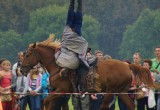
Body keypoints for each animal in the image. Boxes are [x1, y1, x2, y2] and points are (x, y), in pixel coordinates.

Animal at [20, 35, 154, 110]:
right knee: (130, 105)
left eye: (27, 54)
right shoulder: (56, 91)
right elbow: (49, 103)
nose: (21, 69)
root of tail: (127, 65)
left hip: (111, 91)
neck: (58, 65)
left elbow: (47, 101)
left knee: (104, 107)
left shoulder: (61, 90)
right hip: (121, 92)